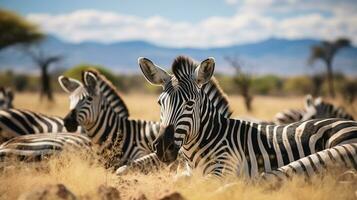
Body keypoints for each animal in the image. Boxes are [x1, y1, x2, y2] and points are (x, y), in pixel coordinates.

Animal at [138, 55, 356, 180]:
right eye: (160, 103)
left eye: (190, 104)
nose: (163, 147)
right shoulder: (189, 173)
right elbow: (177, 179)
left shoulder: (223, 169)